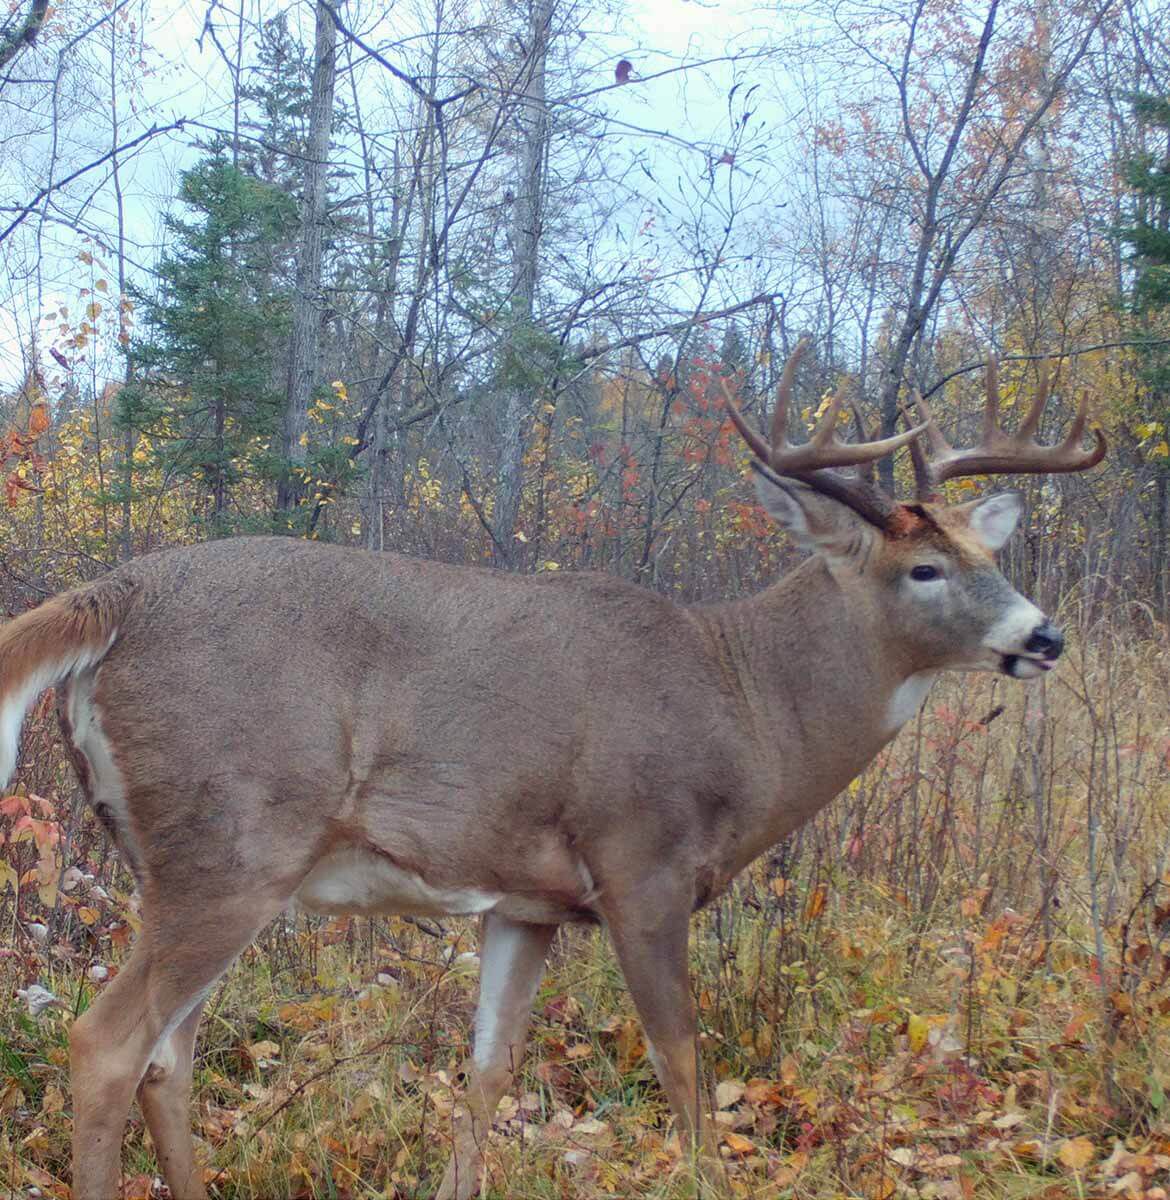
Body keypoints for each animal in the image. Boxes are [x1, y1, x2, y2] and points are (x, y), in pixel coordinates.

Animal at [0, 343, 1104, 1195]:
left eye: (989, 555)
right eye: (924, 569)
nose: (1044, 636)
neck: (748, 704)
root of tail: (117, 593)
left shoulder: (524, 903)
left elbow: (489, 1070)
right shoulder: (640, 859)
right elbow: (684, 1071)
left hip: (189, 860)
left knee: (166, 1060)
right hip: (233, 845)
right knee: (108, 1045)